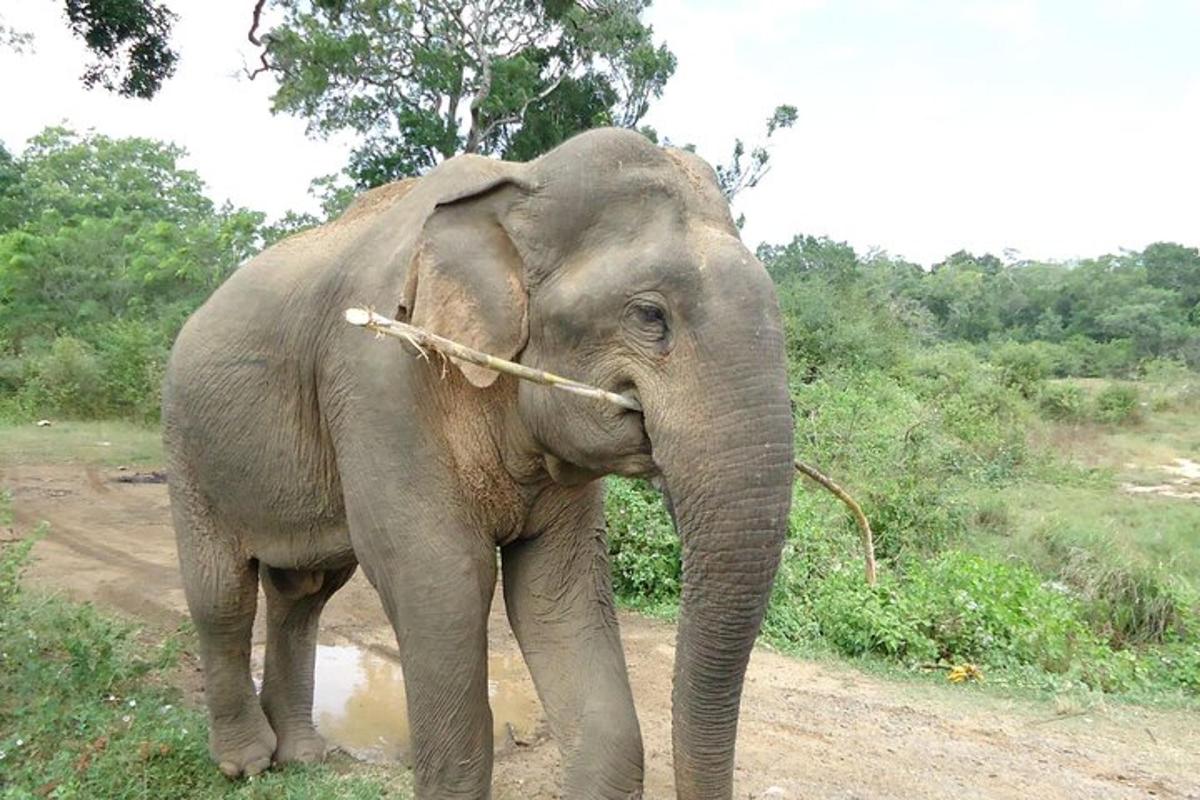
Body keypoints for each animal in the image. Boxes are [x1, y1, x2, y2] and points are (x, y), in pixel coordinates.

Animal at [162, 130, 796, 800]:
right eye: (650, 316)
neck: (520, 182)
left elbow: (555, 588)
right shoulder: (379, 378)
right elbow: (442, 576)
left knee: (305, 591)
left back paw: (303, 758)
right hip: (186, 444)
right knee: (222, 594)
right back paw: (247, 762)